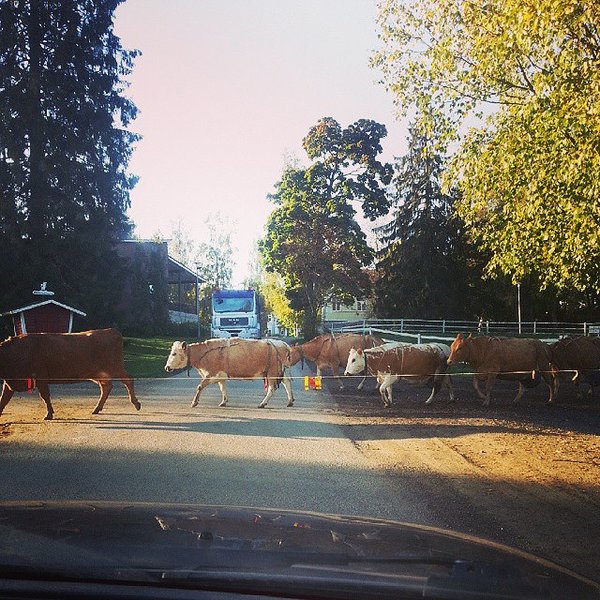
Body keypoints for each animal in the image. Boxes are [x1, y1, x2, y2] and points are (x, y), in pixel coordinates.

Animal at [0, 328, 141, 422]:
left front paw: (49, 415)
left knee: (128, 380)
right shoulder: (9, 383)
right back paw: (97, 408)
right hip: (99, 374)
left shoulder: (41, 378)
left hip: (115, 368)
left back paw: (136, 403)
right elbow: (3, 399)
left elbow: (45, 397)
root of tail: (112, 331)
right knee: (106, 387)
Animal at [164, 338, 296, 408]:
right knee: (287, 382)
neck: (204, 354)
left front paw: (194, 402)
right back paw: (290, 401)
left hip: (272, 371)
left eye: (174, 353)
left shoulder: (211, 374)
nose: (167, 367)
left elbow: (199, 386)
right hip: (278, 370)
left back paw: (262, 403)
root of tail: (282, 343)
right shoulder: (220, 376)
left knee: (272, 388)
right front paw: (224, 401)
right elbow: (222, 388)